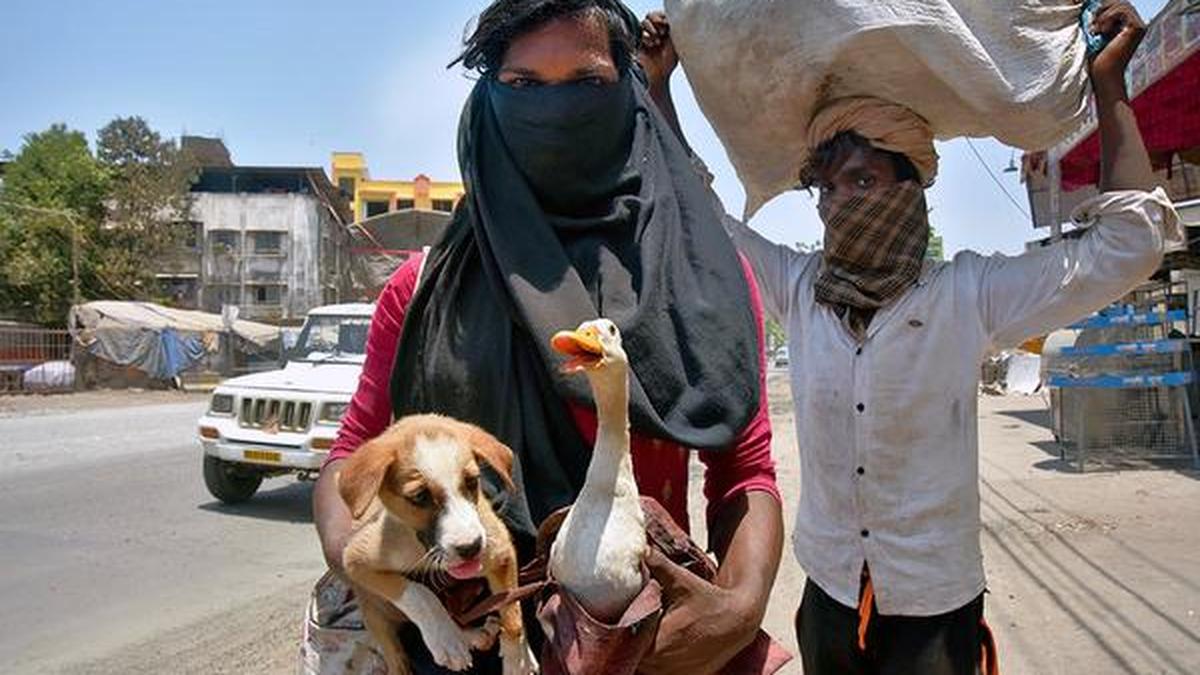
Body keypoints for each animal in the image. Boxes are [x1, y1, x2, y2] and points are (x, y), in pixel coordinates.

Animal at [337, 413, 538, 675]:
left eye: (472, 481)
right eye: (419, 496)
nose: (471, 548)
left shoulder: (501, 552)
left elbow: (513, 611)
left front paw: (518, 659)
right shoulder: (355, 561)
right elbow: (418, 593)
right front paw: (446, 639)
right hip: (376, 613)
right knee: (396, 657)